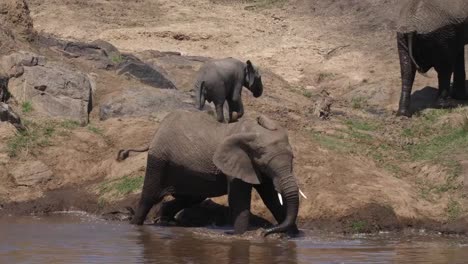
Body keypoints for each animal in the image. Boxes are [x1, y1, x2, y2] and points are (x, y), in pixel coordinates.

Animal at [115, 109, 302, 235]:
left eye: (293, 158)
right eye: (266, 163)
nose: (264, 232)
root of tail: (156, 132)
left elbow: (270, 198)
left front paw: (294, 235)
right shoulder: (236, 165)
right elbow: (239, 199)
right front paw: (240, 235)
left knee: (191, 197)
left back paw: (164, 220)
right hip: (158, 160)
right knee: (150, 195)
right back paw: (136, 224)